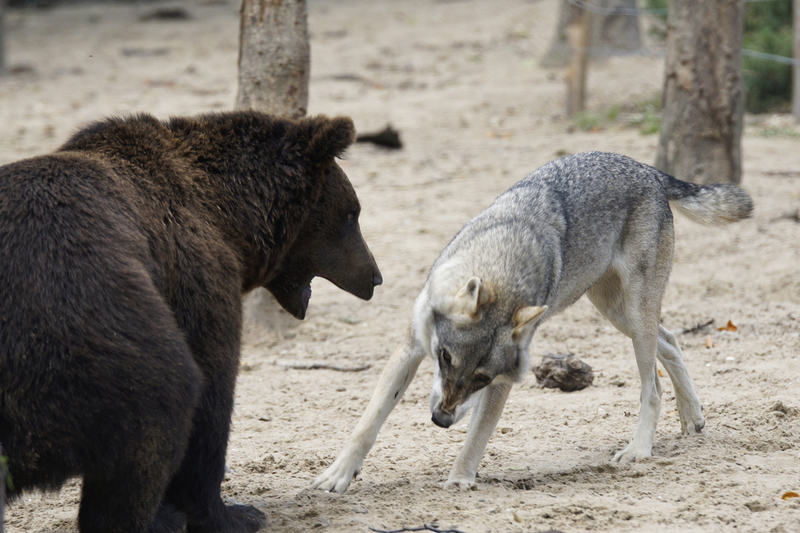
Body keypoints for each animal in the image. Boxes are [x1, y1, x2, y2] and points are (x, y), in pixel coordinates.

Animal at [312, 151, 753, 492]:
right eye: (444, 358)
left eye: (481, 378)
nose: (440, 421)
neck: (503, 265)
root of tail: (650, 170)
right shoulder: (411, 346)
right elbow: (369, 421)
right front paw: (338, 475)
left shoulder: (502, 380)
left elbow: (477, 435)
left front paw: (459, 480)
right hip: (617, 312)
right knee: (673, 340)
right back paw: (692, 416)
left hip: (633, 317)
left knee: (653, 386)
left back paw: (639, 449)